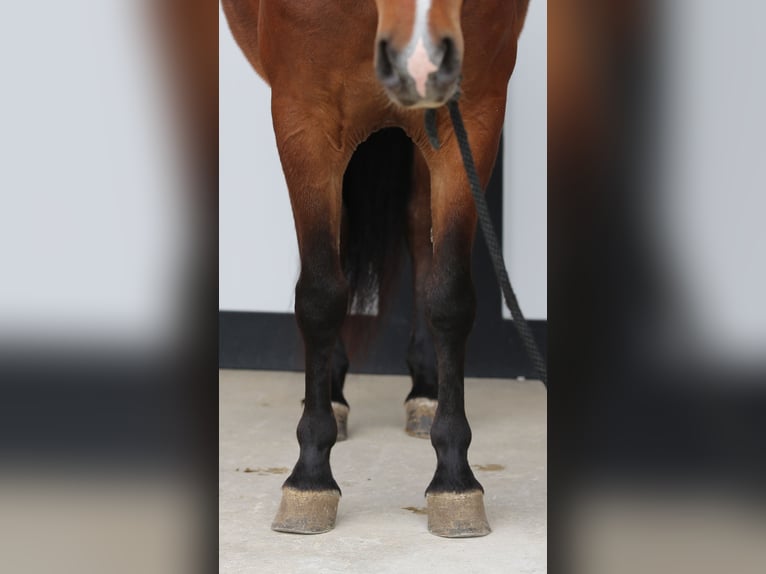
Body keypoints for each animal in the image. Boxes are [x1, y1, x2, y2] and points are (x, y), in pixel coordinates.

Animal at [221, 0, 530, 537]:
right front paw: (310, 478)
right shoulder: (304, 119)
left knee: (419, 229)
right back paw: (333, 395)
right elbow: (320, 296)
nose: (421, 61)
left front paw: (454, 480)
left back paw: (425, 392)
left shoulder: (473, 116)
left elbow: (450, 298)